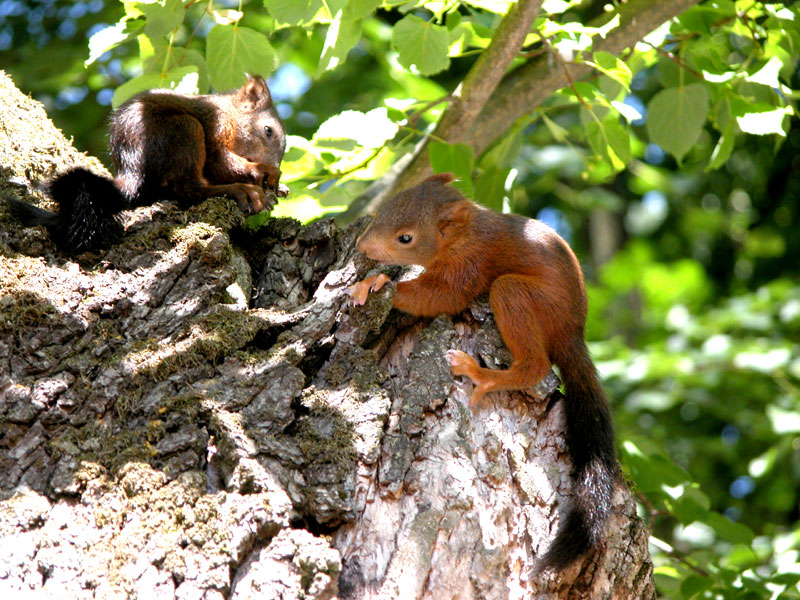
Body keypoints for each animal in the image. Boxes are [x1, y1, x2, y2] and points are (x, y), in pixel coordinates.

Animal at [5, 75, 288, 253]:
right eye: (268, 131)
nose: (273, 164)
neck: (231, 114)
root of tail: (133, 169)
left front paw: (280, 186)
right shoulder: (214, 125)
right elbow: (219, 161)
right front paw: (263, 171)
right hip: (182, 129)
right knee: (189, 188)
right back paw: (238, 190)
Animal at [348, 171, 620, 568]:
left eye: (405, 238)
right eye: (385, 207)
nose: (362, 246)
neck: (464, 236)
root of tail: (572, 335)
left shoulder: (469, 265)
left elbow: (441, 297)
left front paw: (376, 283)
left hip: (517, 295)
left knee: (535, 363)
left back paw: (484, 376)